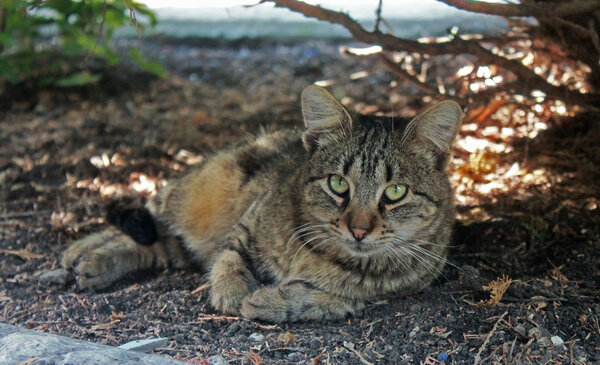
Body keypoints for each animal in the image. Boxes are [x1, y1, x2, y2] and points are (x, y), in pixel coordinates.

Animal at [61, 86, 462, 322]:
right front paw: (234, 292)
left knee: (161, 245)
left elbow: (327, 299)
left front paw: (271, 300)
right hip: (197, 191)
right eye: (337, 184)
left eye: (395, 192)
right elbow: (229, 258)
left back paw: (96, 262)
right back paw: (83, 250)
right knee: (153, 215)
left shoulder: (383, 294)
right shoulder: (245, 226)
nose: (359, 230)